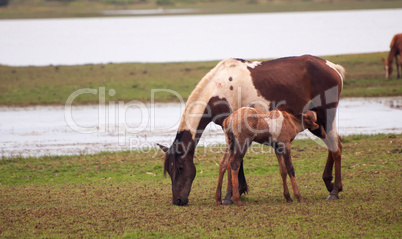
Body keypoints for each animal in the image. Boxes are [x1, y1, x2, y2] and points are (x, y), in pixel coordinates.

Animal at [159, 54, 344, 205]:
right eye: (169, 170)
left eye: (180, 167)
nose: (178, 200)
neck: (219, 89)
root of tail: (333, 68)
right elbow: (234, 162)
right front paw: (237, 191)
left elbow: (234, 163)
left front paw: (229, 196)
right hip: (317, 122)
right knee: (333, 145)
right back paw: (330, 183)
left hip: (325, 117)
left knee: (335, 147)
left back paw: (334, 191)